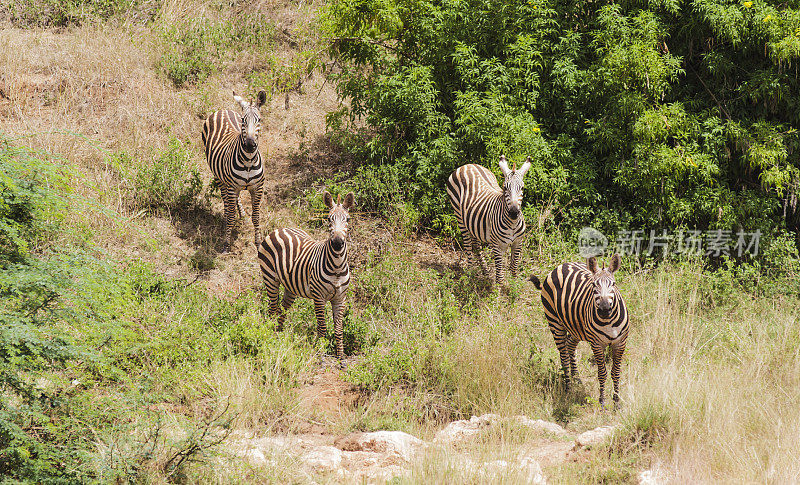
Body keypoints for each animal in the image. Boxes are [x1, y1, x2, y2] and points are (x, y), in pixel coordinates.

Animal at [202, 88, 268, 251]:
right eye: (243, 120)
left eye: (259, 120)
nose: (250, 145)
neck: (249, 161)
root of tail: (222, 110)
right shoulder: (232, 186)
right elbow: (231, 215)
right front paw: (226, 244)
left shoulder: (258, 187)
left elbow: (256, 216)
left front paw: (258, 243)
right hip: (218, 176)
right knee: (226, 201)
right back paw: (227, 217)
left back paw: (242, 215)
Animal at [258, 189, 354, 360]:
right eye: (329, 219)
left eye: (347, 219)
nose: (337, 243)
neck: (336, 266)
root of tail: (280, 229)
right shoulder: (319, 297)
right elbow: (322, 328)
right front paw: (321, 355)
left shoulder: (340, 298)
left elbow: (338, 330)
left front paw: (341, 357)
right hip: (270, 278)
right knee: (272, 309)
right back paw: (270, 336)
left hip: (291, 286)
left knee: (282, 310)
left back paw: (279, 335)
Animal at [446, 155, 536, 284]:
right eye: (504, 187)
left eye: (522, 188)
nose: (514, 213)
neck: (512, 224)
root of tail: (467, 165)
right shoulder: (498, 246)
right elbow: (499, 275)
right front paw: (499, 289)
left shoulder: (518, 243)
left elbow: (514, 268)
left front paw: (514, 286)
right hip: (459, 216)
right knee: (468, 247)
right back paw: (469, 274)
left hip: (474, 222)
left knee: (476, 246)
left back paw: (485, 272)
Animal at [532, 253, 632, 408]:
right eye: (593, 285)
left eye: (613, 284)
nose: (604, 310)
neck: (608, 321)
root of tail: (561, 265)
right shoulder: (597, 344)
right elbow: (602, 373)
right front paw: (602, 402)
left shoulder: (620, 343)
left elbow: (616, 372)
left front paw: (616, 403)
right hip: (555, 323)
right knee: (564, 357)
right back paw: (568, 388)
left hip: (576, 328)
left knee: (570, 345)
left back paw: (576, 378)